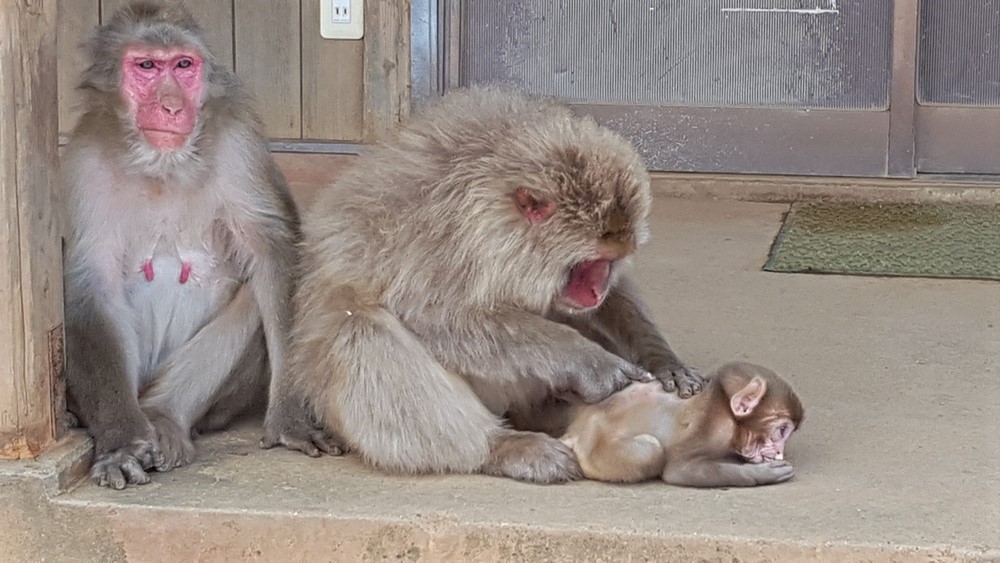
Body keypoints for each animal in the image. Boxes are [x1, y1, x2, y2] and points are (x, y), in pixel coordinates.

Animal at [61, 1, 299, 490]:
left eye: (184, 66)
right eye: (147, 67)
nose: (172, 106)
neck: (161, 166)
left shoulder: (240, 146)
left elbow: (271, 253)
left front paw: (291, 416)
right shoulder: (83, 161)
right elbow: (93, 286)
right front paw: (120, 446)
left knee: (253, 295)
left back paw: (164, 416)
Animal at [261, 87, 703, 484]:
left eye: (608, 265)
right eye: (588, 265)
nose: (595, 291)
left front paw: (662, 359)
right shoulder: (445, 234)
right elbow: (437, 316)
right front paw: (591, 361)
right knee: (361, 328)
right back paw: (501, 447)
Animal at [555, 361, 804, 487]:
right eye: (782, 431)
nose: (780, 451)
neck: (721, 406)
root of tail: (576, 431)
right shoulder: (714, 430)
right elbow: (680, 471)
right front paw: (760, 474)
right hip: (596, 454)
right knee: (650, 451)